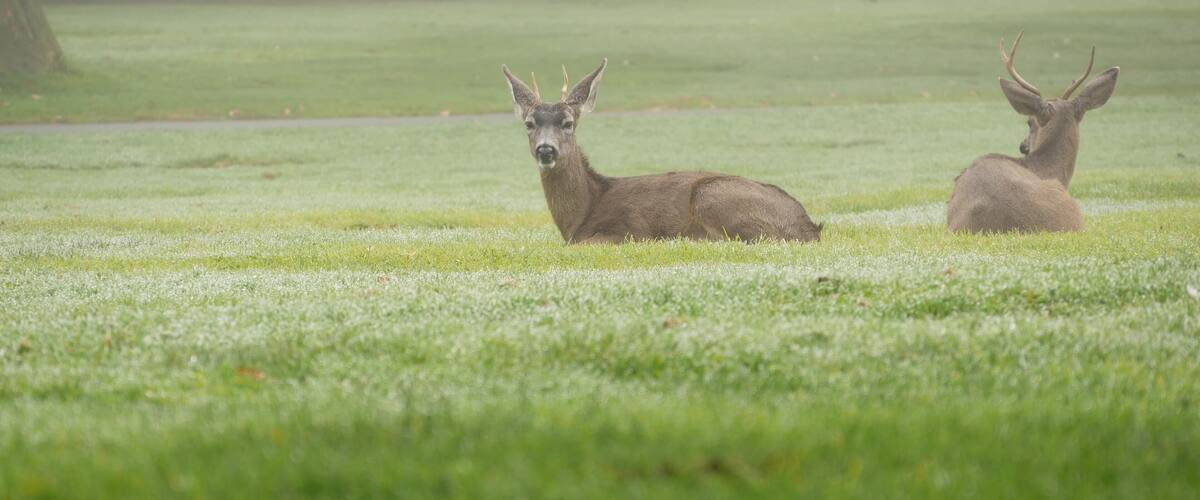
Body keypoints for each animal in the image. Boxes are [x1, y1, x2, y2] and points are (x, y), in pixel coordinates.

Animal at [501, 59, 822, 244]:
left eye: (568, 123)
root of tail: (810, 227)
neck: (581, 215)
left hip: (712, 195)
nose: (546, 148)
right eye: (529, 123)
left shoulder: (628, 230)